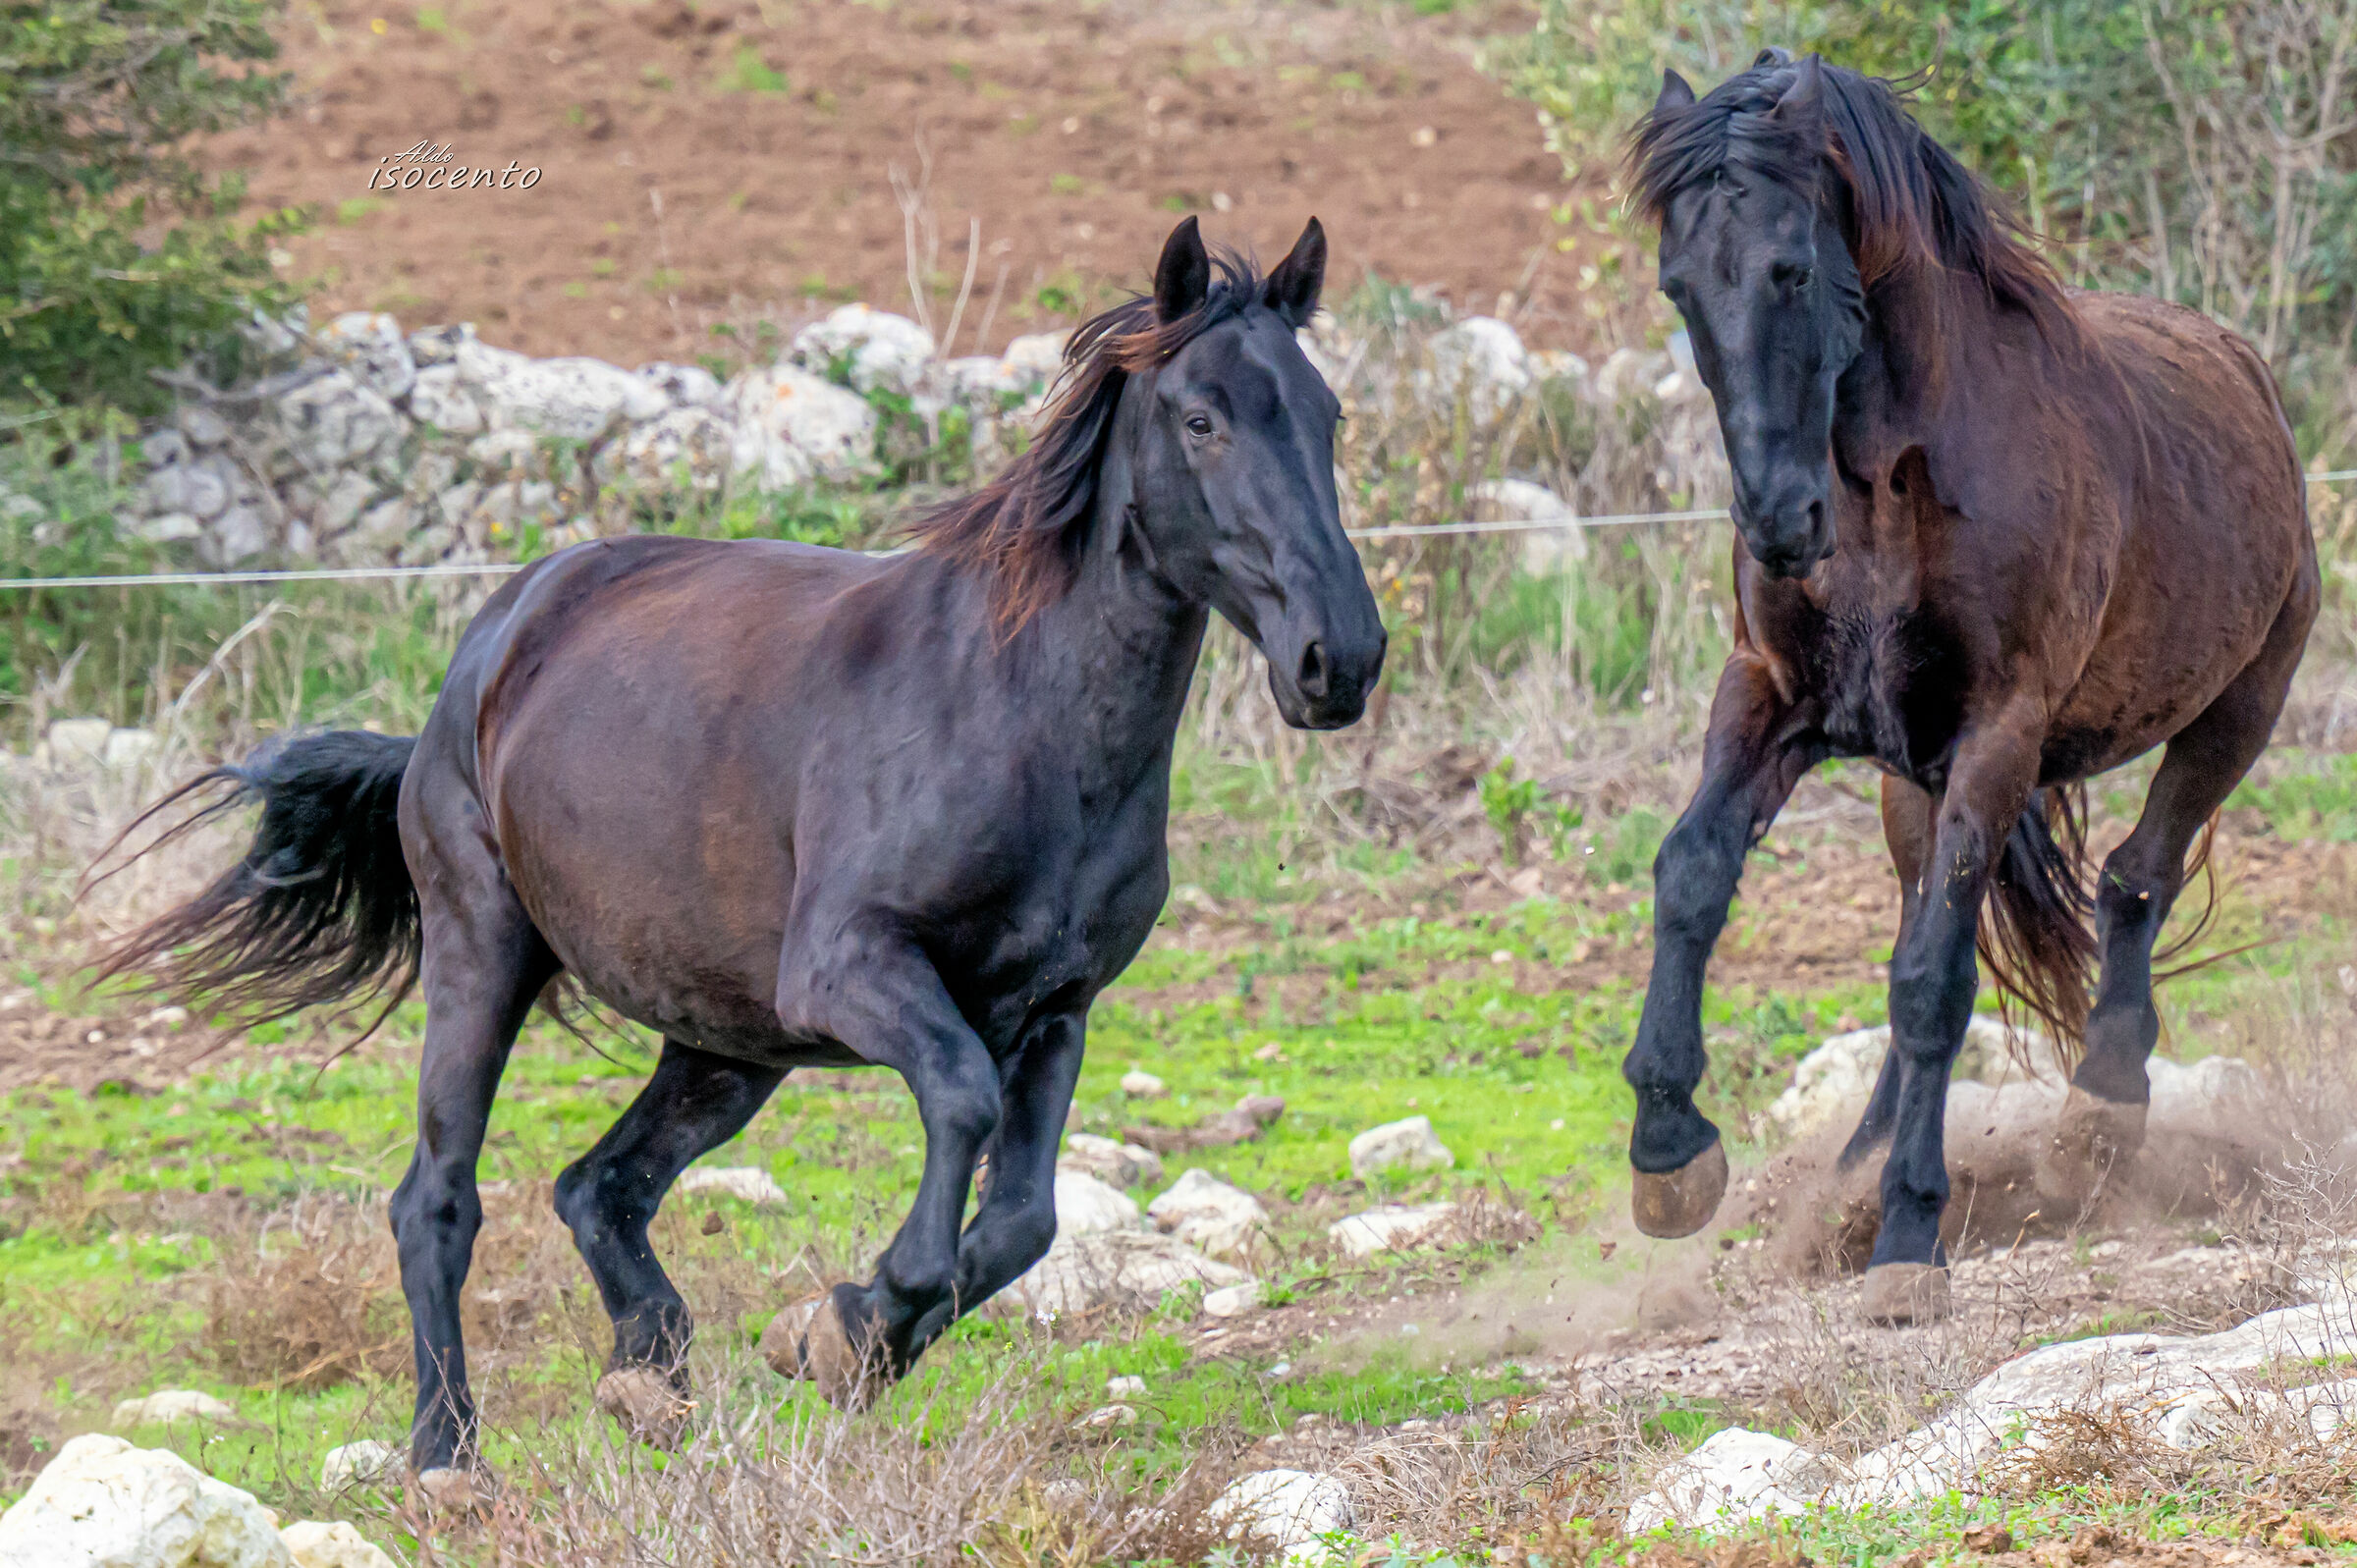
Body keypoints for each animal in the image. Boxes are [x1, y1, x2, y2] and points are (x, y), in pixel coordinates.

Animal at [97, 216, 1385, 1496]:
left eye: (1328, 415)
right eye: (1202, 419)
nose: (1341, 660)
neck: (1019, 715)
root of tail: (484, 655)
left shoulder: (1056, 1010)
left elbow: (1024, 1219)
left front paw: (849, 1331)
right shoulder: (855, 968)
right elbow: (959, 1099)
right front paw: (854, 1323)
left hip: (724, 1040)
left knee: (600, 1185)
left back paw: (649, 1384)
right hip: (486, 955)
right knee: (436, 1203)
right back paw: (448, 1454)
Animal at [1617, 52, 2316, 1323]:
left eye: (1794, 269)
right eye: (1680, 285)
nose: (1779, 523)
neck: (1890, 488)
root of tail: (2249, 374)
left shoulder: (2001, 731)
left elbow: (1937, 983)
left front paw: (1908, 1240)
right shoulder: (1770, 697)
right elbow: (1693, 877)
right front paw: (1670, 1152)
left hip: (2236, 713)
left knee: (2133, 879)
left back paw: (2095, 1122)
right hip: (1913, 780)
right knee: (1923, 918)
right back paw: (1850, 1174)